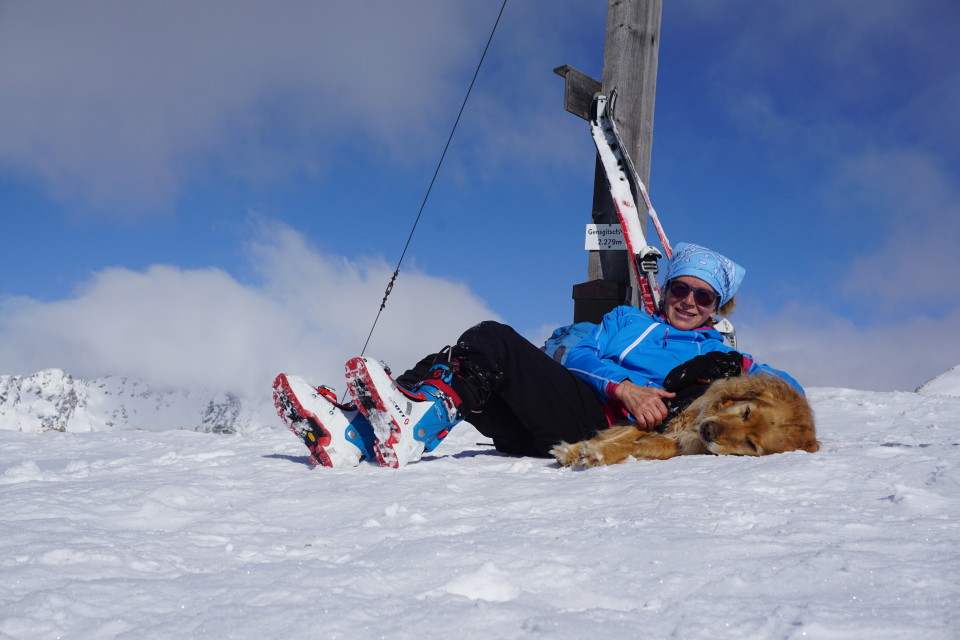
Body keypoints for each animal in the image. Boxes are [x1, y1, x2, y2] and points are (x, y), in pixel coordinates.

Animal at [552, 372, 820, 468]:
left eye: (751, 444)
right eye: (746, 412)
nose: (709, 430)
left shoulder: (676, 444)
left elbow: (636, 447)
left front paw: (597, 454)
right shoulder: (657, 417)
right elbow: (623, 435)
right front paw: (574, 451)